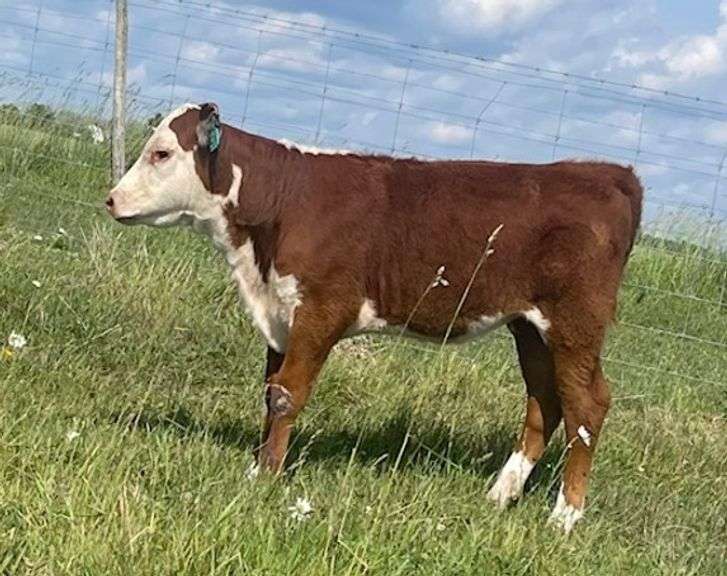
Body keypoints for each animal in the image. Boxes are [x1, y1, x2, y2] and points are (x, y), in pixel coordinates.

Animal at [106, 103, 642, 533]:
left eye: (161, 154)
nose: (110, 199)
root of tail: (607, 174)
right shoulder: (278, 315)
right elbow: (269, 392)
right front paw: (259, 465)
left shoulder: (321, 309)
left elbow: (285, 395)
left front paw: (266, 478)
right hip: (529, 326)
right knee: (545, 401)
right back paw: (500, 495)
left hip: (575, 322)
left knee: (588, 405)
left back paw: (565, 516)